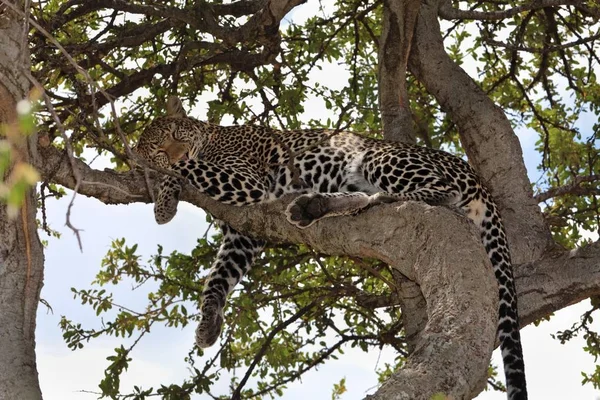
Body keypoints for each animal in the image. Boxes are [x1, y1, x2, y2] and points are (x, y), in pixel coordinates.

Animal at [134, 96, 528, 400]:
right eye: (157, 146)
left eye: (175, 135)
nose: (171, 152)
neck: (212, 135)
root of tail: (474, 174)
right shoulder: (242, 235)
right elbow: (218, 278)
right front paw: (208, 323)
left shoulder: (248, 184)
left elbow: (187, 168)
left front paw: (164, 197)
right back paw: (313, 207)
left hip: (380, 158)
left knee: (440, 191)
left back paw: (373, 200)